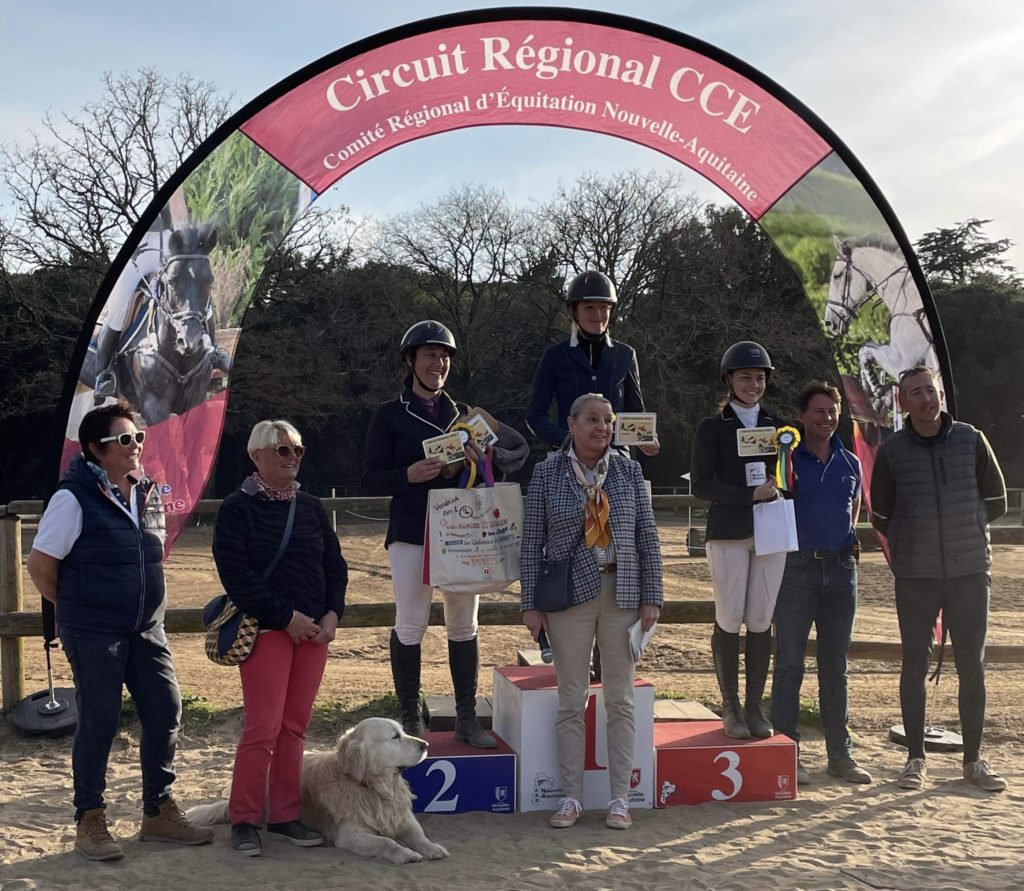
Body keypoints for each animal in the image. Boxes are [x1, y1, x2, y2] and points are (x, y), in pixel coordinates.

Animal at [187, 716, 448, 864]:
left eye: (403, 732)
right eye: (395, 737)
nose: (426, 745)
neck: (373, 789)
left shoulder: (401, 817)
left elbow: (418, 835)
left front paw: (432, 848)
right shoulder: (351, 833)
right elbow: (386, 842)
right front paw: (405, 853)